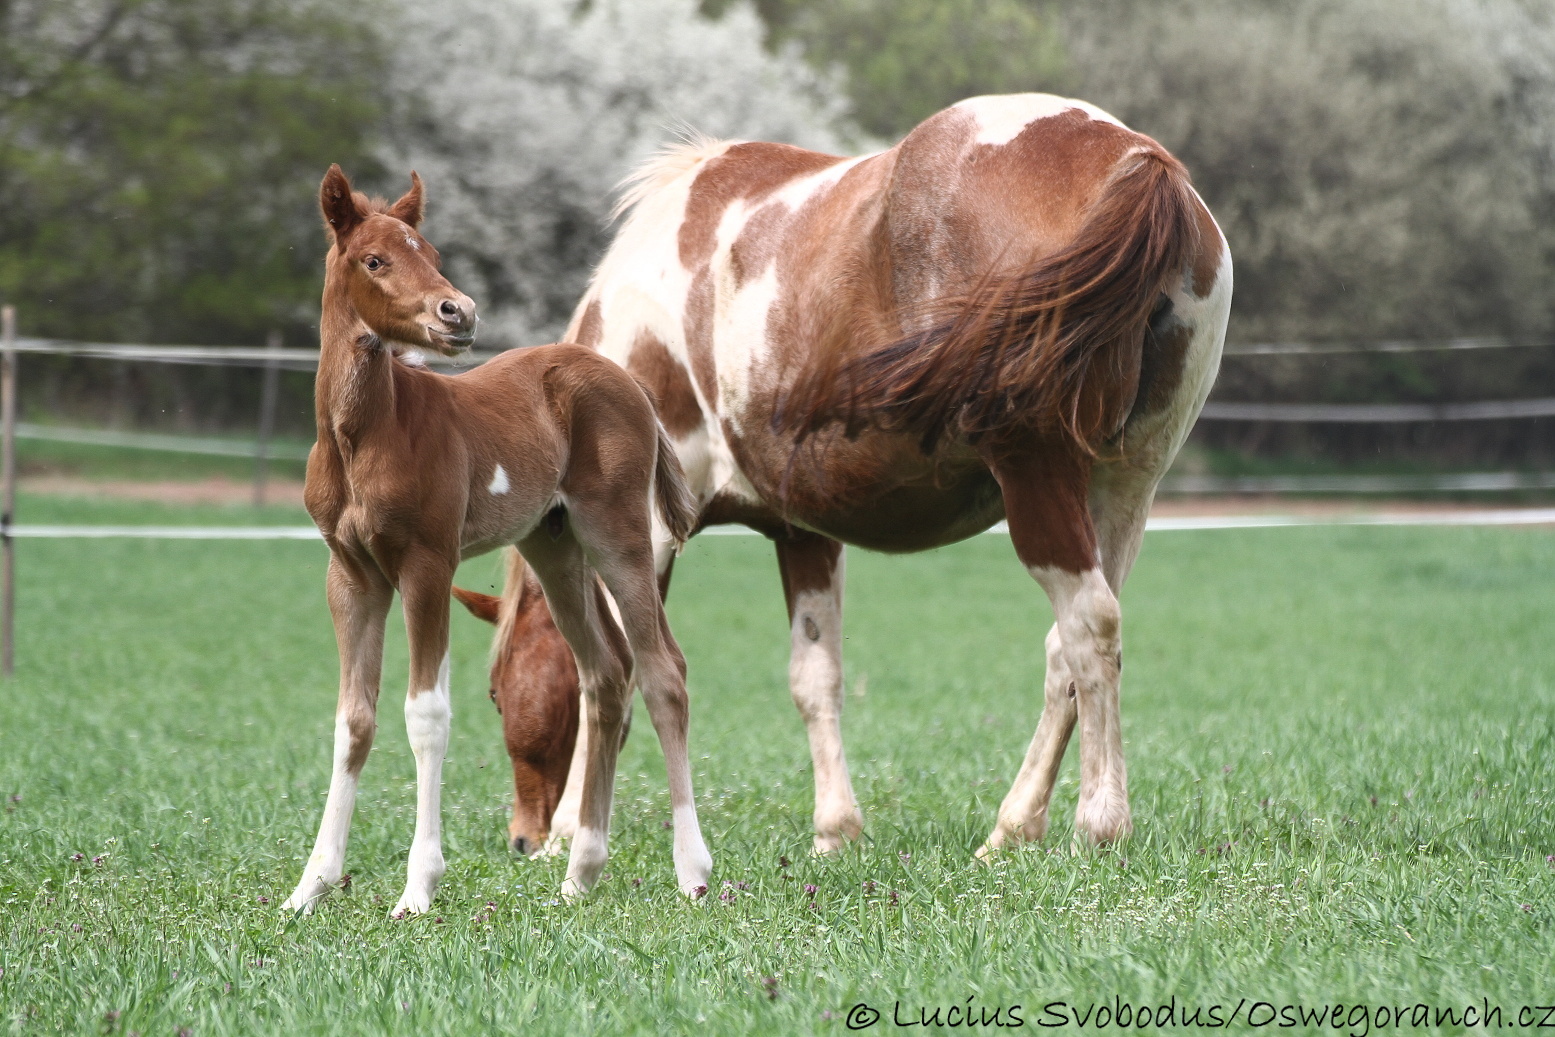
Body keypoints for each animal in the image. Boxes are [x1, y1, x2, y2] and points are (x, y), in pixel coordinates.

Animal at [281, 164, 712, 914]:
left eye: (431, 252)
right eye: (375, 259)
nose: (458, 312)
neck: (365, 433)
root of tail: (630, 382)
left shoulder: (427, 564)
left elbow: (425, 713)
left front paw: (417, 888)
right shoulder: (351, 575)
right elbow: (352, 720)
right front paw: (311, 886)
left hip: (618, 534)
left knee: (663, 672)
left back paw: (693, 871)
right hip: (554, 548)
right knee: (605, 674)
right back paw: (579, 874)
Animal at [469, 95, 1225, 858]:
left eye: (495, 692)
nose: (522, 837)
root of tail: (1132, 159)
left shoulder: (640, 530)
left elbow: (613, 672)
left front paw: (574, 828)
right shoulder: (803, 533)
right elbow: (815, 678)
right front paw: (835, 829)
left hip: (1038, 479)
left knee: (1088, 626)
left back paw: (1098, 824)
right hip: (1125, 486)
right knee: (1067, 651)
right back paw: (1012, 828)